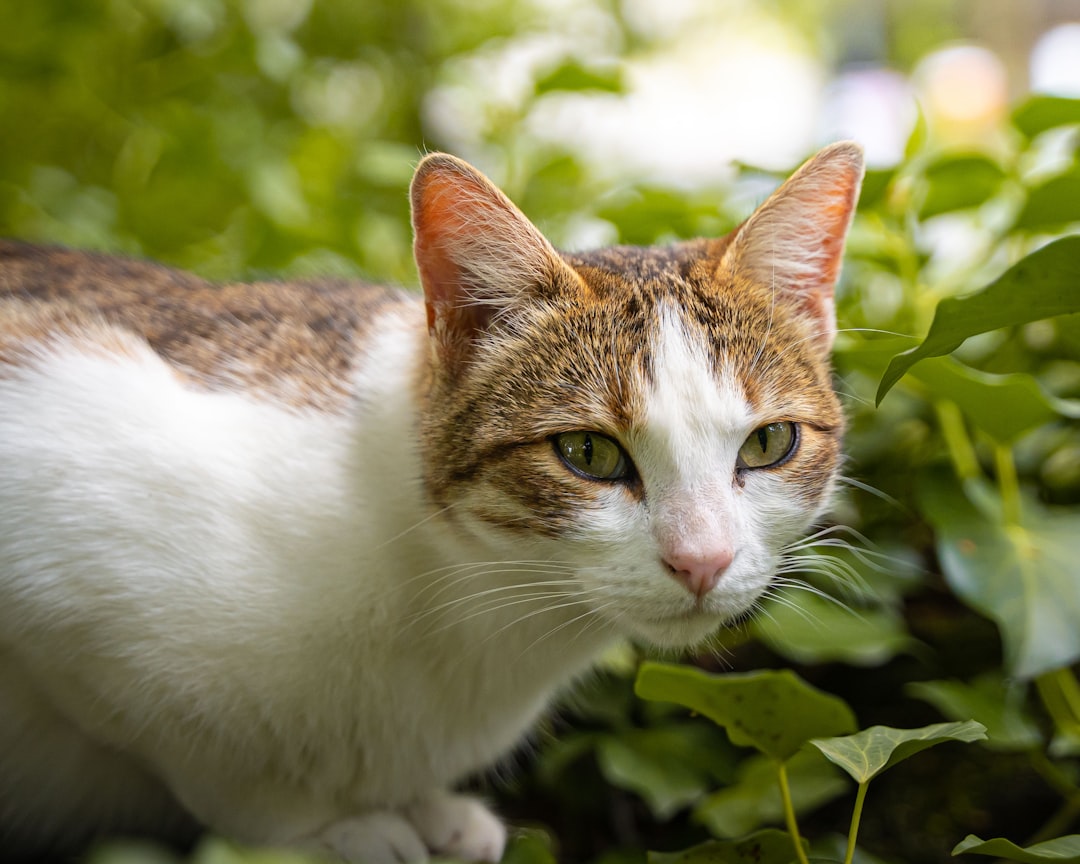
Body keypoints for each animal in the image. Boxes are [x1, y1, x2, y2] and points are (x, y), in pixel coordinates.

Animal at [0, 140, 859, 855]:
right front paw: (328, 829)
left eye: (769, 443)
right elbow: (216, 766)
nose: (703, 560)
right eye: (588, 454)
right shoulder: (60, 524)